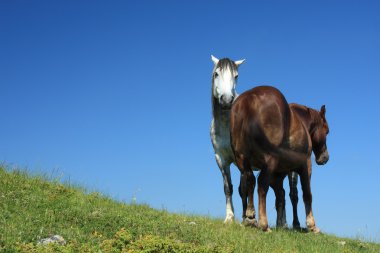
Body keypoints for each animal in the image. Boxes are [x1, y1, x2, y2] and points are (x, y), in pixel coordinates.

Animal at [229, 86, 330, 232]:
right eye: (327, 131)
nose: (325, 157)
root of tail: (247, 101)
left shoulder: (278, 175)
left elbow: (281, 197)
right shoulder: (305, 166)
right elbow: (307, 194)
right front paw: (312, 225)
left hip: (242, 160)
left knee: (250, 181)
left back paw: (250, 217)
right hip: (269, 161)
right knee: (261, 185)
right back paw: (264, 224)